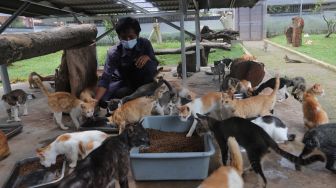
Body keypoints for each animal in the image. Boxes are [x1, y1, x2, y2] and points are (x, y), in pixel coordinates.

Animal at [196, 113, 324, 187]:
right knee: (258, 168)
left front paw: (225, 167)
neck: (216, 124)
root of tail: (266, 135)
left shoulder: (223, 144)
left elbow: (224, 158)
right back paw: (247, 171)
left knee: (263, 177)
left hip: (252, 153)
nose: (197, 133)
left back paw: (259, 183)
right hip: (257, 154)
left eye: (198, 128)